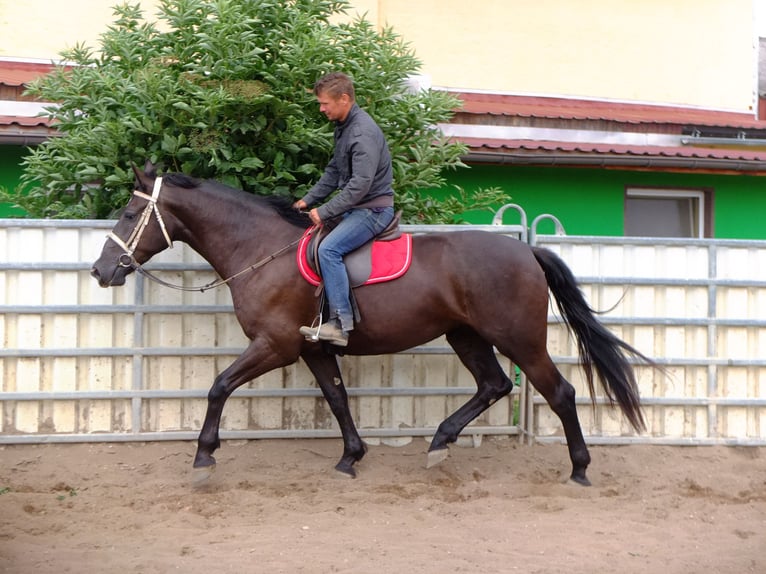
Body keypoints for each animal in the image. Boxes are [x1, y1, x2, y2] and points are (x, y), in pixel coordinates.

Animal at [91, 162, 656, 486]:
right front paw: (351, 457)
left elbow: (218, 386)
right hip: (466, 335)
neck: (262, 249)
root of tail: (525, 250)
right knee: (494, 385)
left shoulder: (275, 345)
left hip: (518, 339)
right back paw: (439, 443)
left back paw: (579, 468)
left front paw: (204, 457)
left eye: (128, 214)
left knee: (559, 392)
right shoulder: (313, 349)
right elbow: (338, 399)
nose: (101, 271)